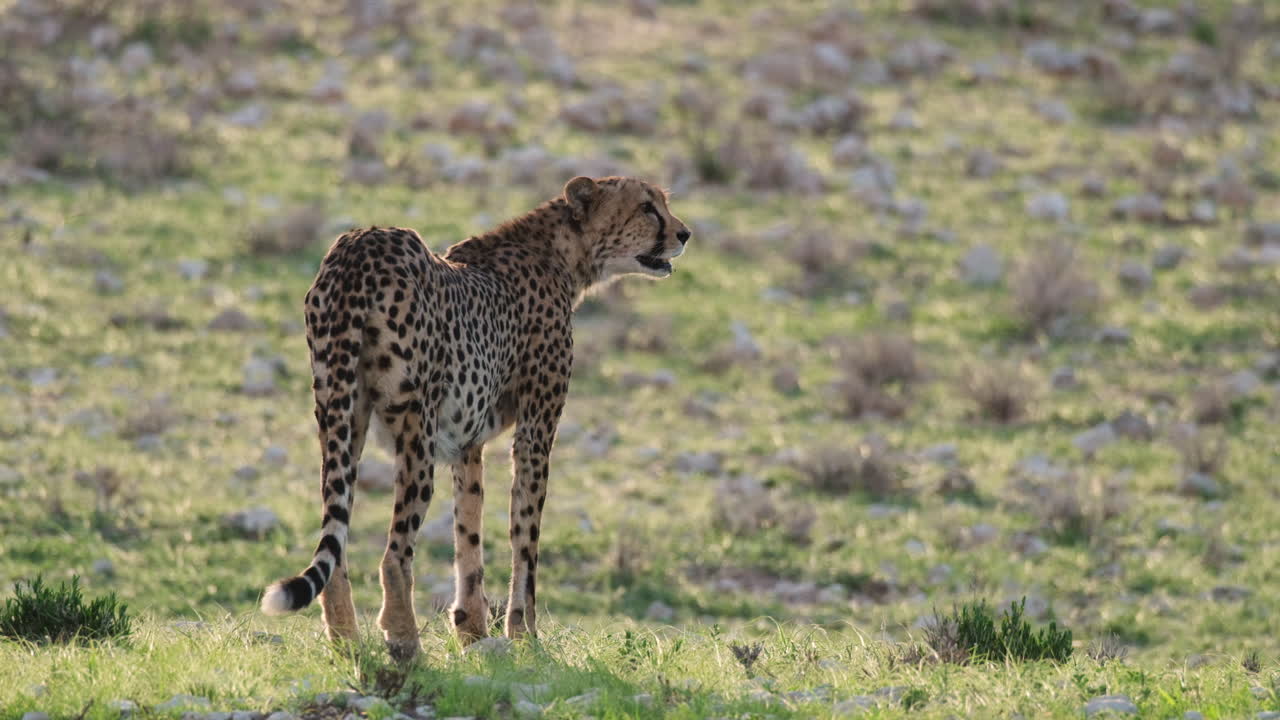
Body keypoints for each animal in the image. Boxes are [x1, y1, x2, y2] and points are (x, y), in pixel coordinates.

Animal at [260, 176, 691, 661]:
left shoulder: (468, 440)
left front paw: (472, 631)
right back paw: (404, 641)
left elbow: (469, 529)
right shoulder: (535, 432)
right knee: (394, 554)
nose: (684, 233)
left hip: (339, 417)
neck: (562, 252)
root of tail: (361, 243)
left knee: (338, 544)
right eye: (647, 207)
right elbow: (525, 537)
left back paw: (348, 643)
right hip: (415, 431)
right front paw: (525, 636)